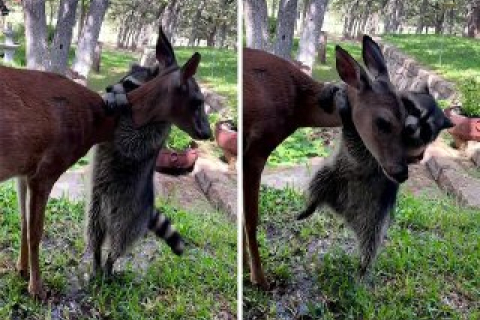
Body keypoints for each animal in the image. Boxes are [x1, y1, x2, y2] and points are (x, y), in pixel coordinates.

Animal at [85, 63, 185, 276]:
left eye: (129, 84)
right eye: (121, 79)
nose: (108, 88)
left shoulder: (157, 128)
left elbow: (135, 139)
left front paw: (123, 106)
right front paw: (108, 97)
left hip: (130, 215)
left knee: (120, 240)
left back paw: (110, 262)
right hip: (97, 204)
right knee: (94, 230)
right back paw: (97, 256)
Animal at [242, 35, 410, 290]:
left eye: (407, 117)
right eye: (383, 122)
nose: (402, 172)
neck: (297, 105)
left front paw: (244, 267)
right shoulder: (256, 150)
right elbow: (251, 217)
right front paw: (259, 278)